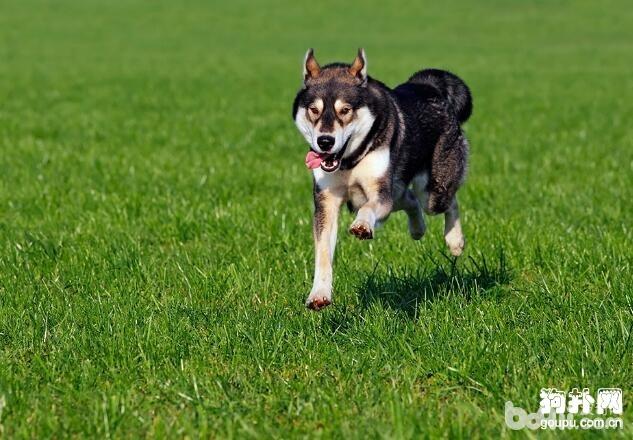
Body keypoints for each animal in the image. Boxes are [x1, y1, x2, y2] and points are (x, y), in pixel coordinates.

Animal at [292, 49, 470, 310]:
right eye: (314, 110)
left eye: (345, 110)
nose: (325, 141)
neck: (350, 161)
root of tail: (429, 86)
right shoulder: (326, 201)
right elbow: (323, 252)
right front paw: (319, 294)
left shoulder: (379, 193)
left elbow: (368, 209)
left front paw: (361, 226)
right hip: (400, 190)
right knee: (409, 199)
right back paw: (417, 229)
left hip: (432, 192)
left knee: (448, 200)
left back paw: (455, 241)